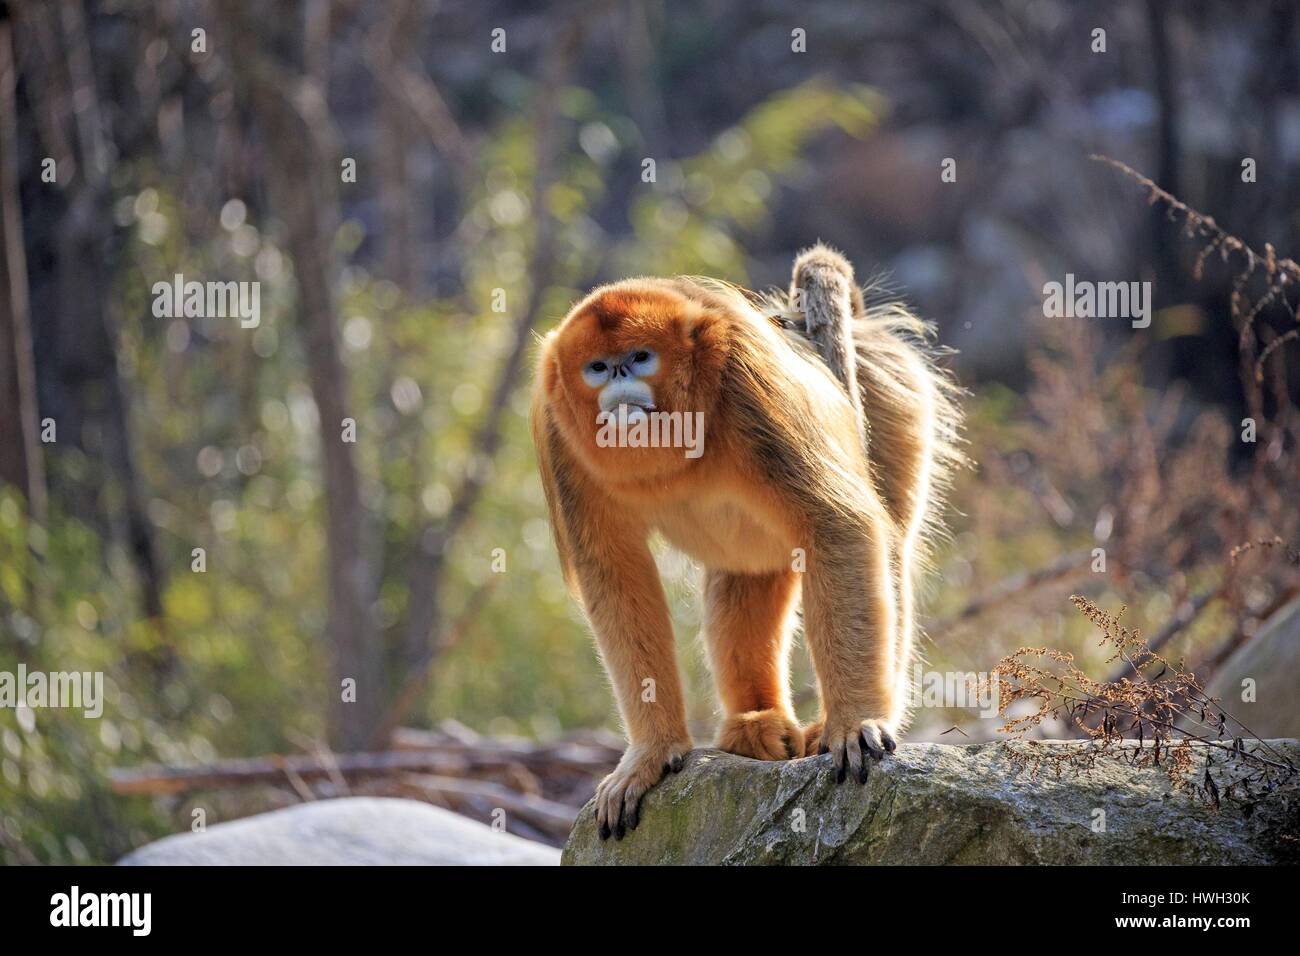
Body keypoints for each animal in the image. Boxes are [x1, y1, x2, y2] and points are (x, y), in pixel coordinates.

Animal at [530, 244, 963, 840]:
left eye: (640, 358)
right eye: (598, 367)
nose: (617, 379)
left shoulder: (746, 382)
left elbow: (840, 524)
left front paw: (854, 721)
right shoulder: (559, 435)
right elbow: (614, 575)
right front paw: (652, 753)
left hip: (892, 392)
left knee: (883, 542)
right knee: (748, 572)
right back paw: (757, 725)